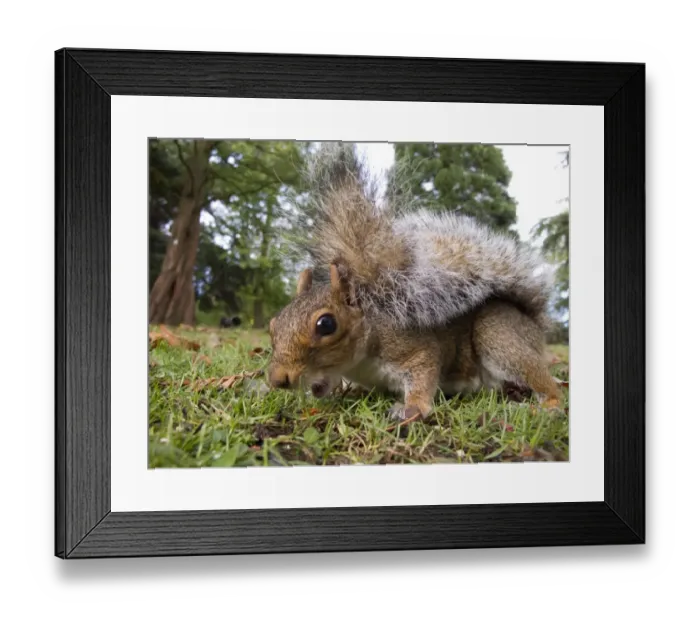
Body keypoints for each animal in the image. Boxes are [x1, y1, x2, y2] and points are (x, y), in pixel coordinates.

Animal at [266, 142, 563, 424]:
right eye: (273, 325)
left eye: (326, 324)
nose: (278, 379)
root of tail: (533, 322)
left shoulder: (414, 348)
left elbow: (423, 374)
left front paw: (412, 408)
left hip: (498, 333)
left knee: (543, 380)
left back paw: (546, 405)